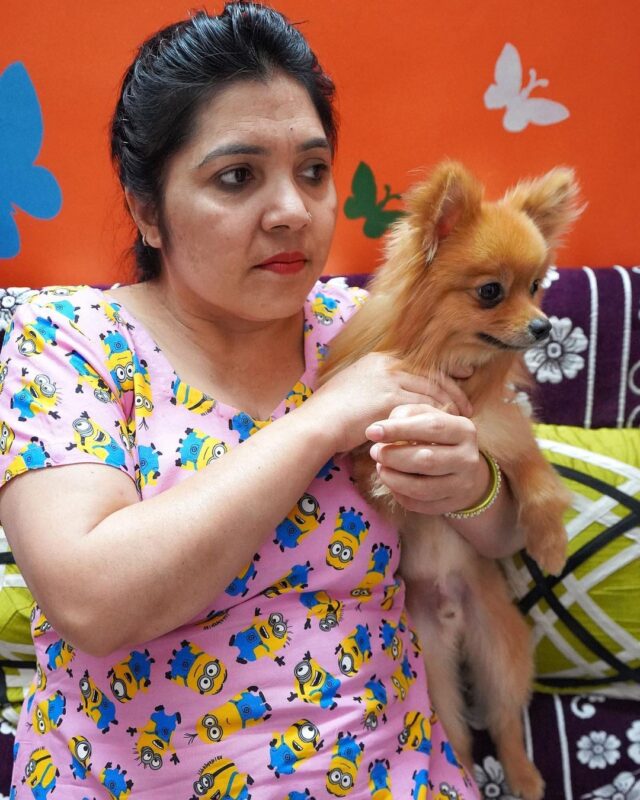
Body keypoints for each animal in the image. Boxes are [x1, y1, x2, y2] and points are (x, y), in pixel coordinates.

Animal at [318, 159, 580, 796]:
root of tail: (454, 622)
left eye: (537, 286)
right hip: (434, 668)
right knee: (459, 736)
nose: (544, 327)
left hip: (502, 654)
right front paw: (389, 472)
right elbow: (375, 456)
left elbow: (536, 484)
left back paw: (525, 777)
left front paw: (550, 545)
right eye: (491, 292)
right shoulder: (371, 436)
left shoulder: (504, 437)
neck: (452, 371)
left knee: (505, 723)